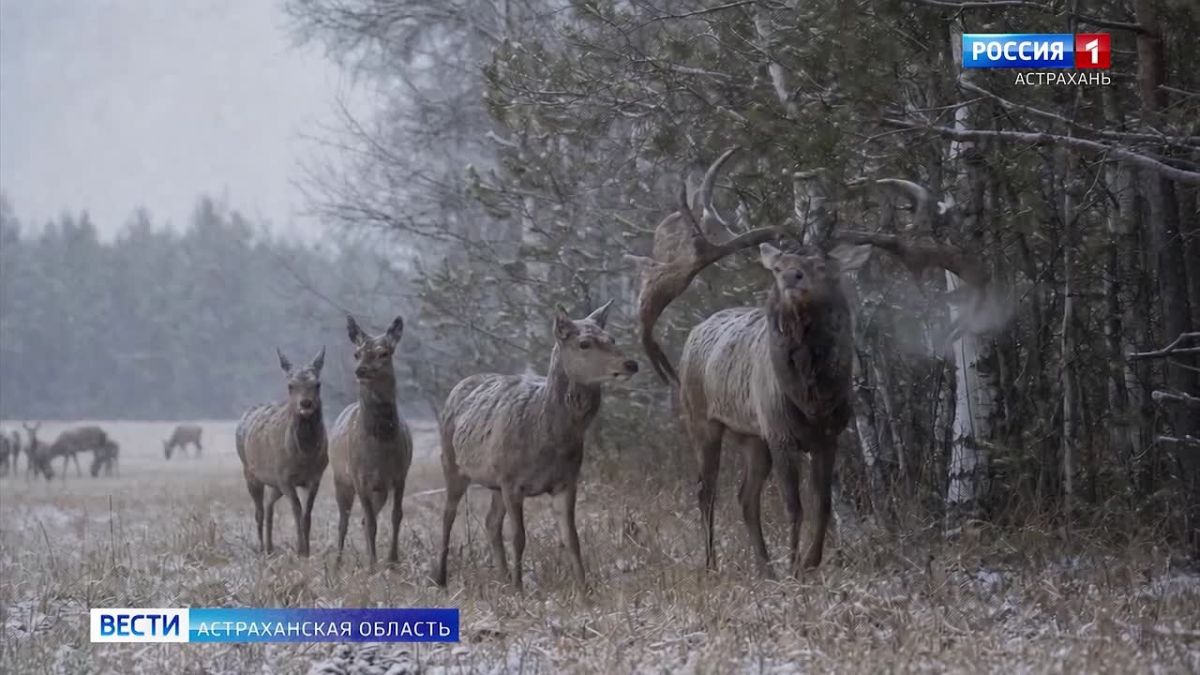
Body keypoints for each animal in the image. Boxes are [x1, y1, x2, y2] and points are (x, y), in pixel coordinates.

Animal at [235, 347, 328, 557]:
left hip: (274, 483)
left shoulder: (315, 477)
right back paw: (261, 548)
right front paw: (300, 551)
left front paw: (307, 552)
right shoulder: (284, 477)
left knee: (269, 506)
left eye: (317, 384)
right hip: (250, 472)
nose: (306, 404)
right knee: (259, 512)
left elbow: (307, 514)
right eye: (290, 385)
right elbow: (297, 510)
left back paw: (270, 547)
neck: (305, 456)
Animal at [329, 315, 411, 567]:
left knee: (365, 519)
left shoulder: (400, 474)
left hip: (379, 489)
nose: (361, 370)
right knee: (344, 521)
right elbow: (371, 523)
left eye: (384, 352)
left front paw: (392, 561)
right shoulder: (359, 477)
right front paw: (373, 566)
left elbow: (396, 516)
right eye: (357, 353)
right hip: (340, 479)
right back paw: (337, 562)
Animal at [433, 301, 639, 591]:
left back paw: (502, 578)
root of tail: (459, 385)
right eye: (584, 343)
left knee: (490, 522)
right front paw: (520, 590)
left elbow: (572, 537)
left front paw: (584, 590)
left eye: (611, 338)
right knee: (447, 516)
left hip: (494, 481)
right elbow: (519, 537)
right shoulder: (512, 481)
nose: (631, 363)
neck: (549, 438)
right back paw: (441, 577)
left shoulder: (566, 480)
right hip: (452, 463)